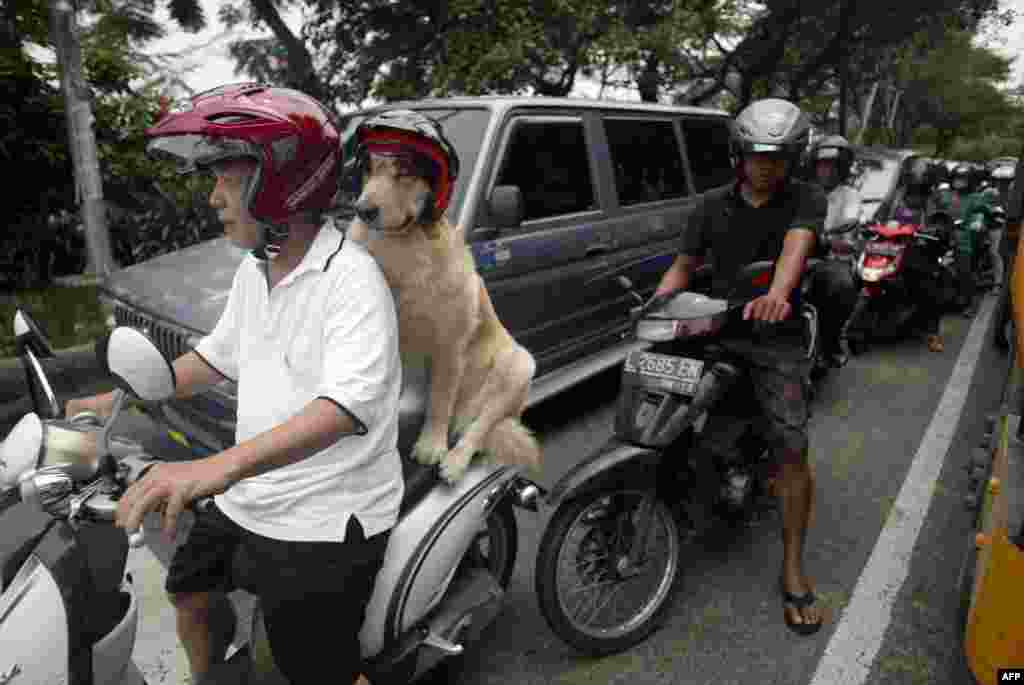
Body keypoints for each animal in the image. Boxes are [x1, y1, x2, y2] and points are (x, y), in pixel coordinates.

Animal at [348, 152, 540, 483]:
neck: (402, 249)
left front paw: (431, 446)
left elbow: (439, 401)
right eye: (368, 170)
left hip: (518, 366)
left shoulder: (449, 348)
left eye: (405, 172)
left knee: (479, 427)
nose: (362, 210)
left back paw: (455, 461)